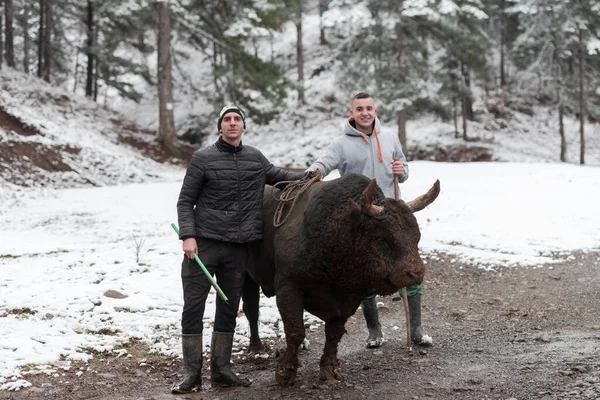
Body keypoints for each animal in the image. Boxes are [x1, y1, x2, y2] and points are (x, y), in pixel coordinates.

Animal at [240, 173, 440, 386]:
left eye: (417, 236)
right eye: (382, 238)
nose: (416, 273)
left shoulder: (346, 301)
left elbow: (333, 333)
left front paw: (329, 369)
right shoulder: (288, 288)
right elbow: (295, 330)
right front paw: (285, 373)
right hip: (246, 277)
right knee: (251, 310)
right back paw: (256, 348)